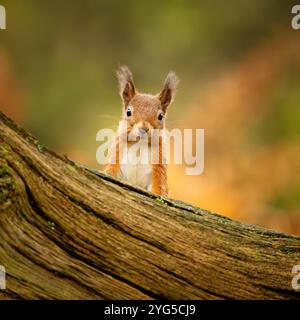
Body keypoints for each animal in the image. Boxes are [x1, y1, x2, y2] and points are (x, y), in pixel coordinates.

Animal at [103, 65, 178, 196]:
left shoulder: (158, 165)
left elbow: (159, 188)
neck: (139, 145)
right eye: (128, 112)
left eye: (161, 116)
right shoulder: (116, 154)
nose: (144, 129)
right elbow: (109, 171)